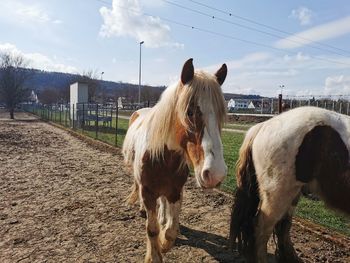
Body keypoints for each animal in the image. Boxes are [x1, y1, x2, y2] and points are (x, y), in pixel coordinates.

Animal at [121, 58, 228, 262]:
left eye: (221, 114)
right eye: (190, 112)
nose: (215, 174)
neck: (162, 157)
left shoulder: (176, 191)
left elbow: (171, 230)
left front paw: (164, 243)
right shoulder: (148, 192)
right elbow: (152, 229)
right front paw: (154, 255)